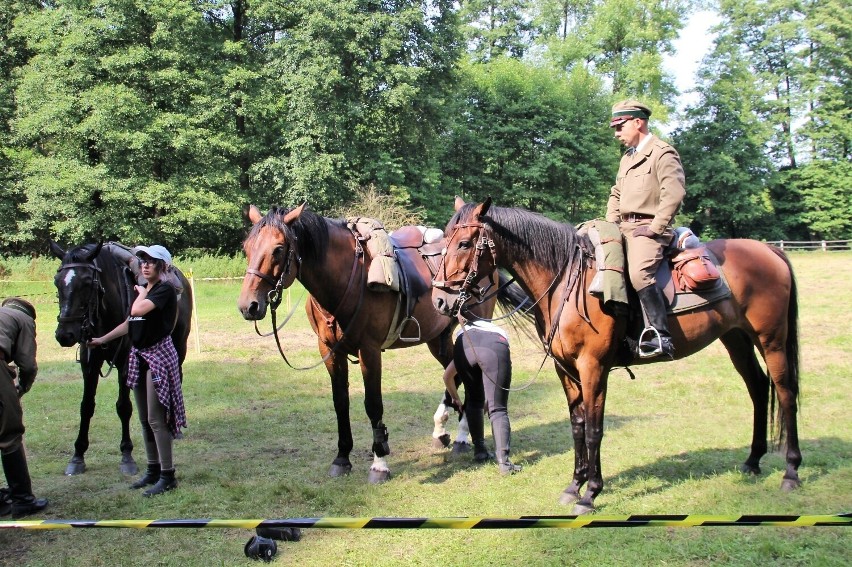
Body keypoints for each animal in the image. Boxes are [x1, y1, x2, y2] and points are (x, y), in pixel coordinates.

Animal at [51, 242, 195, 478]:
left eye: (87, 282)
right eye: (57, 280)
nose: (65, 334)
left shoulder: (125, 364)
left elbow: (124, 407)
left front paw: (127, 456)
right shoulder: (89, 364)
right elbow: (86, 406)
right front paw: (78, 456)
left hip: (179, 342)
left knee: (177, 376)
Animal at [235, 204, 524, 484]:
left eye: (278, 249)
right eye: (247, 248)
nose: (249, 306)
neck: (346, 279)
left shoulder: (370, 350)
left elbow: (373, 404)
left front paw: (380, 464)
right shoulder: (329, 351)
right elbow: (340, 403)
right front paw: (342, 458)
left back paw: (462, 436)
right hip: (437, 339)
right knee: (453, 372)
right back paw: (442, 430)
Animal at [436, 199, 804, 516]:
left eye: (465, 243)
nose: (441, 300)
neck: (568, 282)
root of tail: (769, 249)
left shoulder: (593, 367)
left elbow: (595, 429)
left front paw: (590, 494)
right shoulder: (565, 369)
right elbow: (577, 427)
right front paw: (574, 485)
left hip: (771, 340)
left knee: (785, 394)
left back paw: (791, 472)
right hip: (736, 338)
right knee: (758, 388)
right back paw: (753, 461)